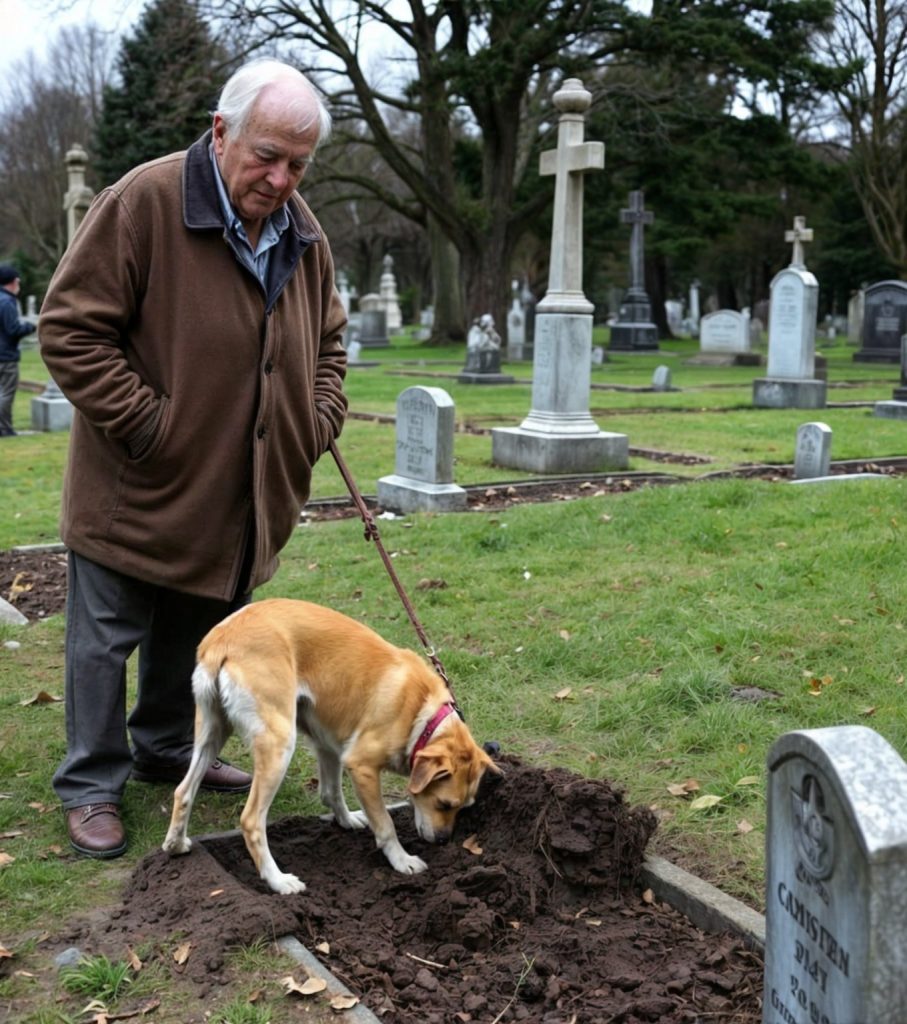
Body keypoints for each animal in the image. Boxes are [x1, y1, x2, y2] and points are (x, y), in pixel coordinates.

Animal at [166, 598, 501, 892]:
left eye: (464, 807)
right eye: (444, 804)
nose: (444, 841)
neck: (422, 717)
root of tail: (223, 638)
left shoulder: (328, 745)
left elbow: (331, 792)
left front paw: (346, 820)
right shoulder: (361, 765)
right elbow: (385, 824)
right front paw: (402, 860)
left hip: (211, 733)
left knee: (183, 791)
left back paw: (176, 844)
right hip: (278, 744)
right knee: (251, 821)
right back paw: (278, 881)